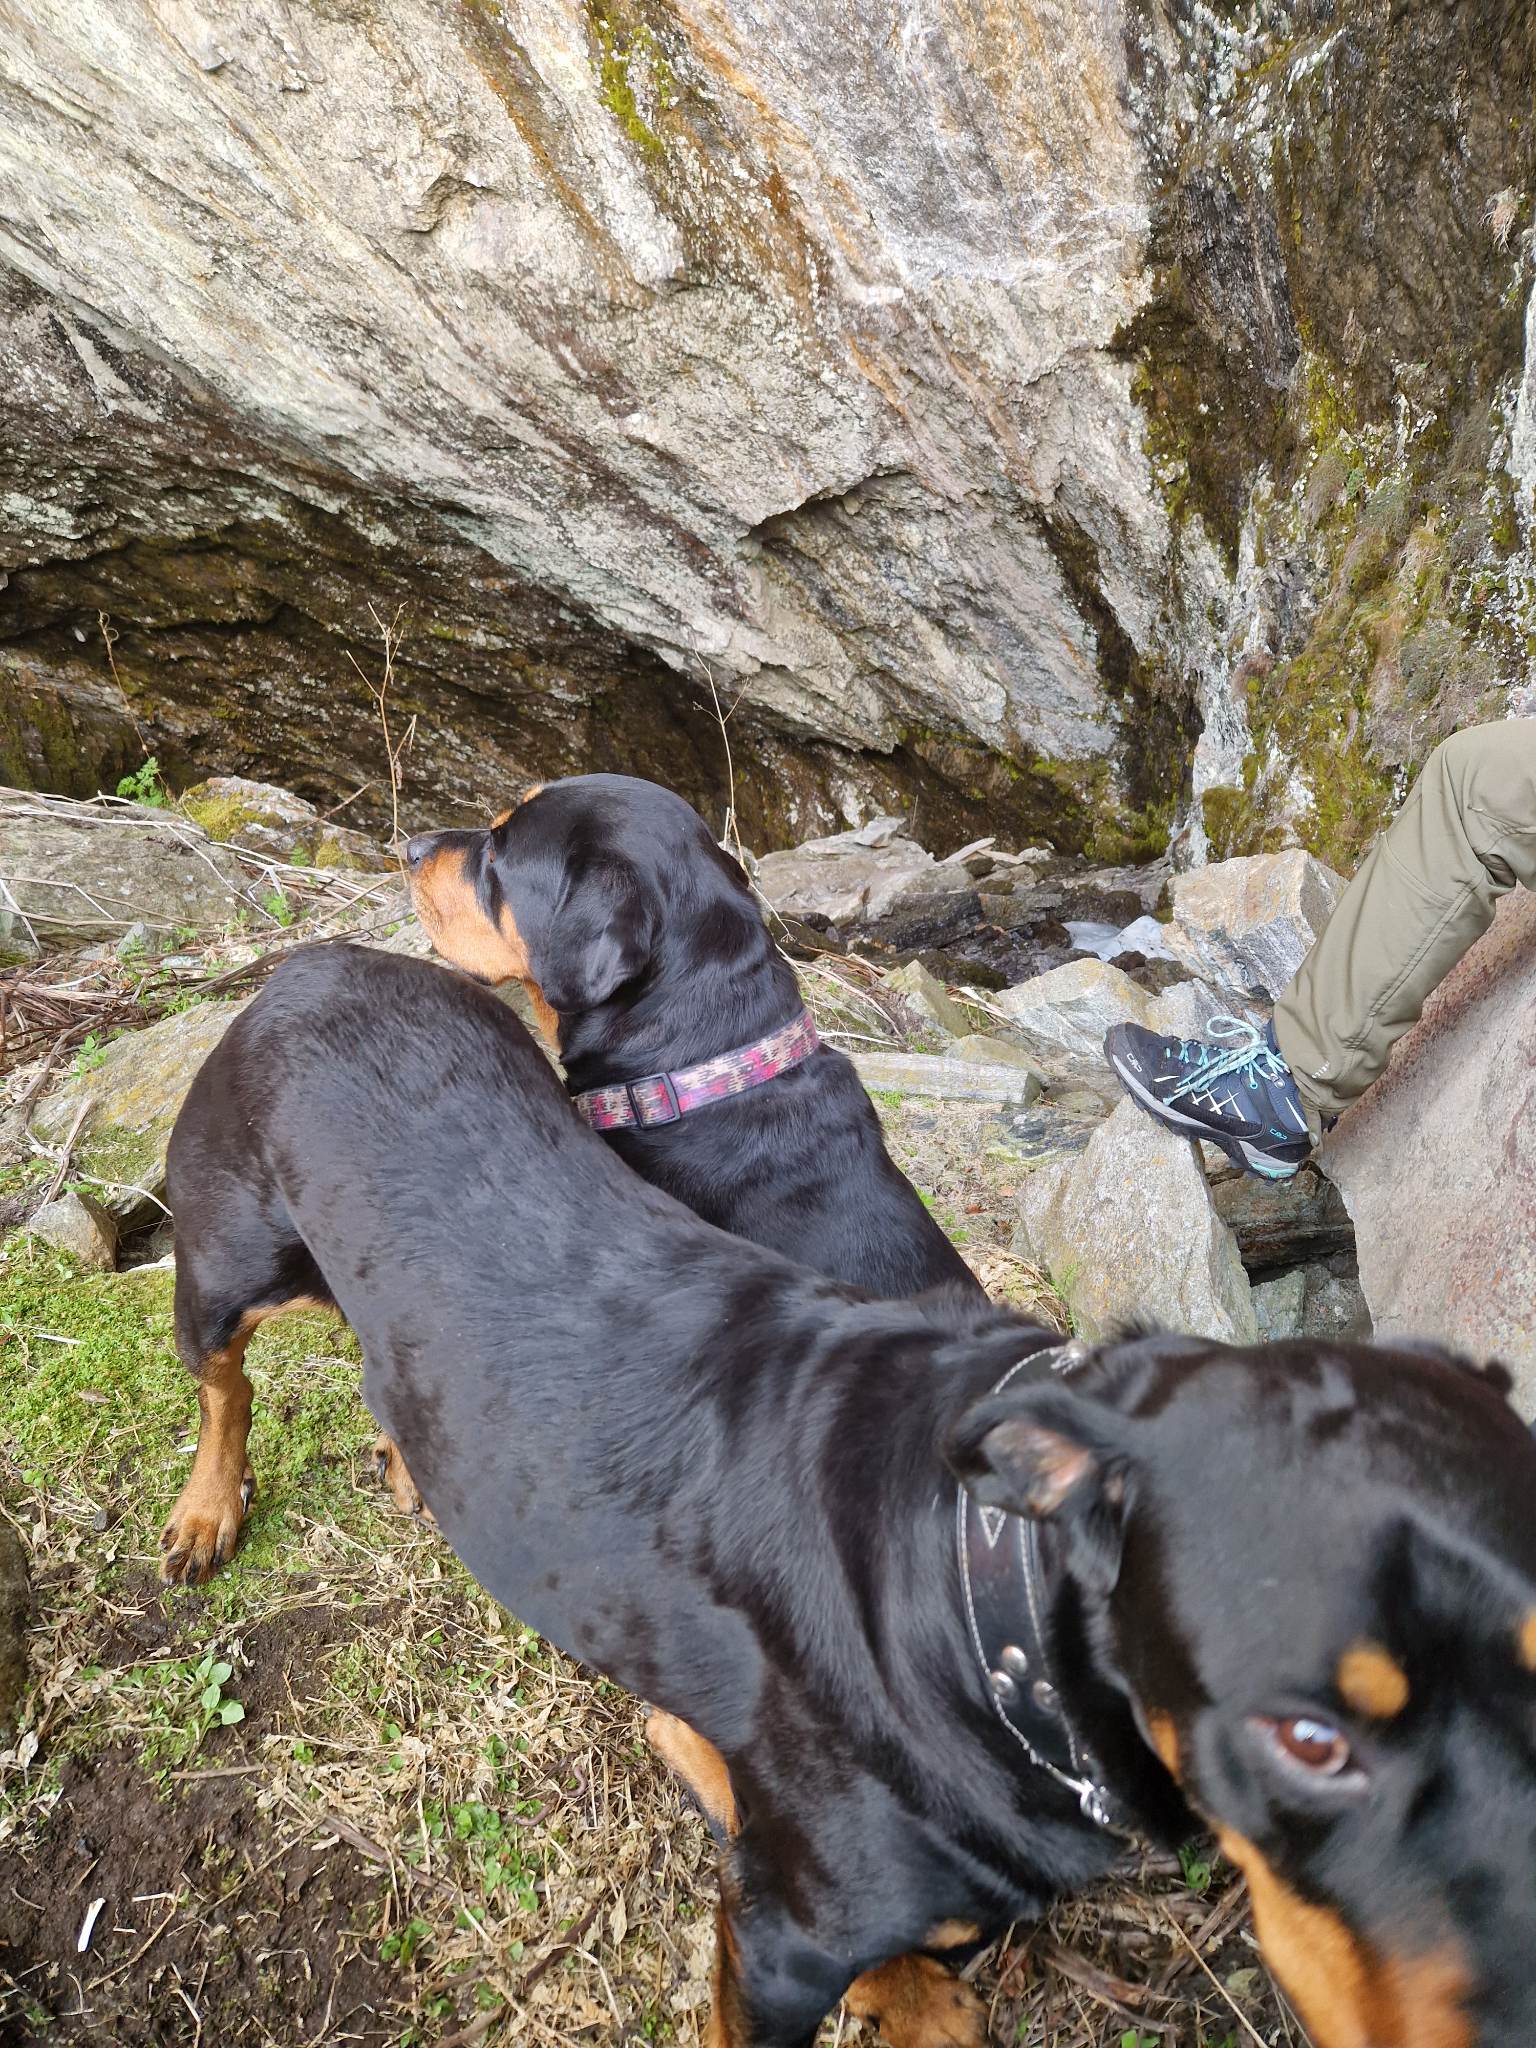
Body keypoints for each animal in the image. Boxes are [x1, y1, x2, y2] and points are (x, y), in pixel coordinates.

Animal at [159, 942, 1536, 2048]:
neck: (976, 1590)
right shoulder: (779, 1946)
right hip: (228, 1251)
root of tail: (320, 959)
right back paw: (206, 1507)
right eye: (1307, 1739)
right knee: (226, 1378)